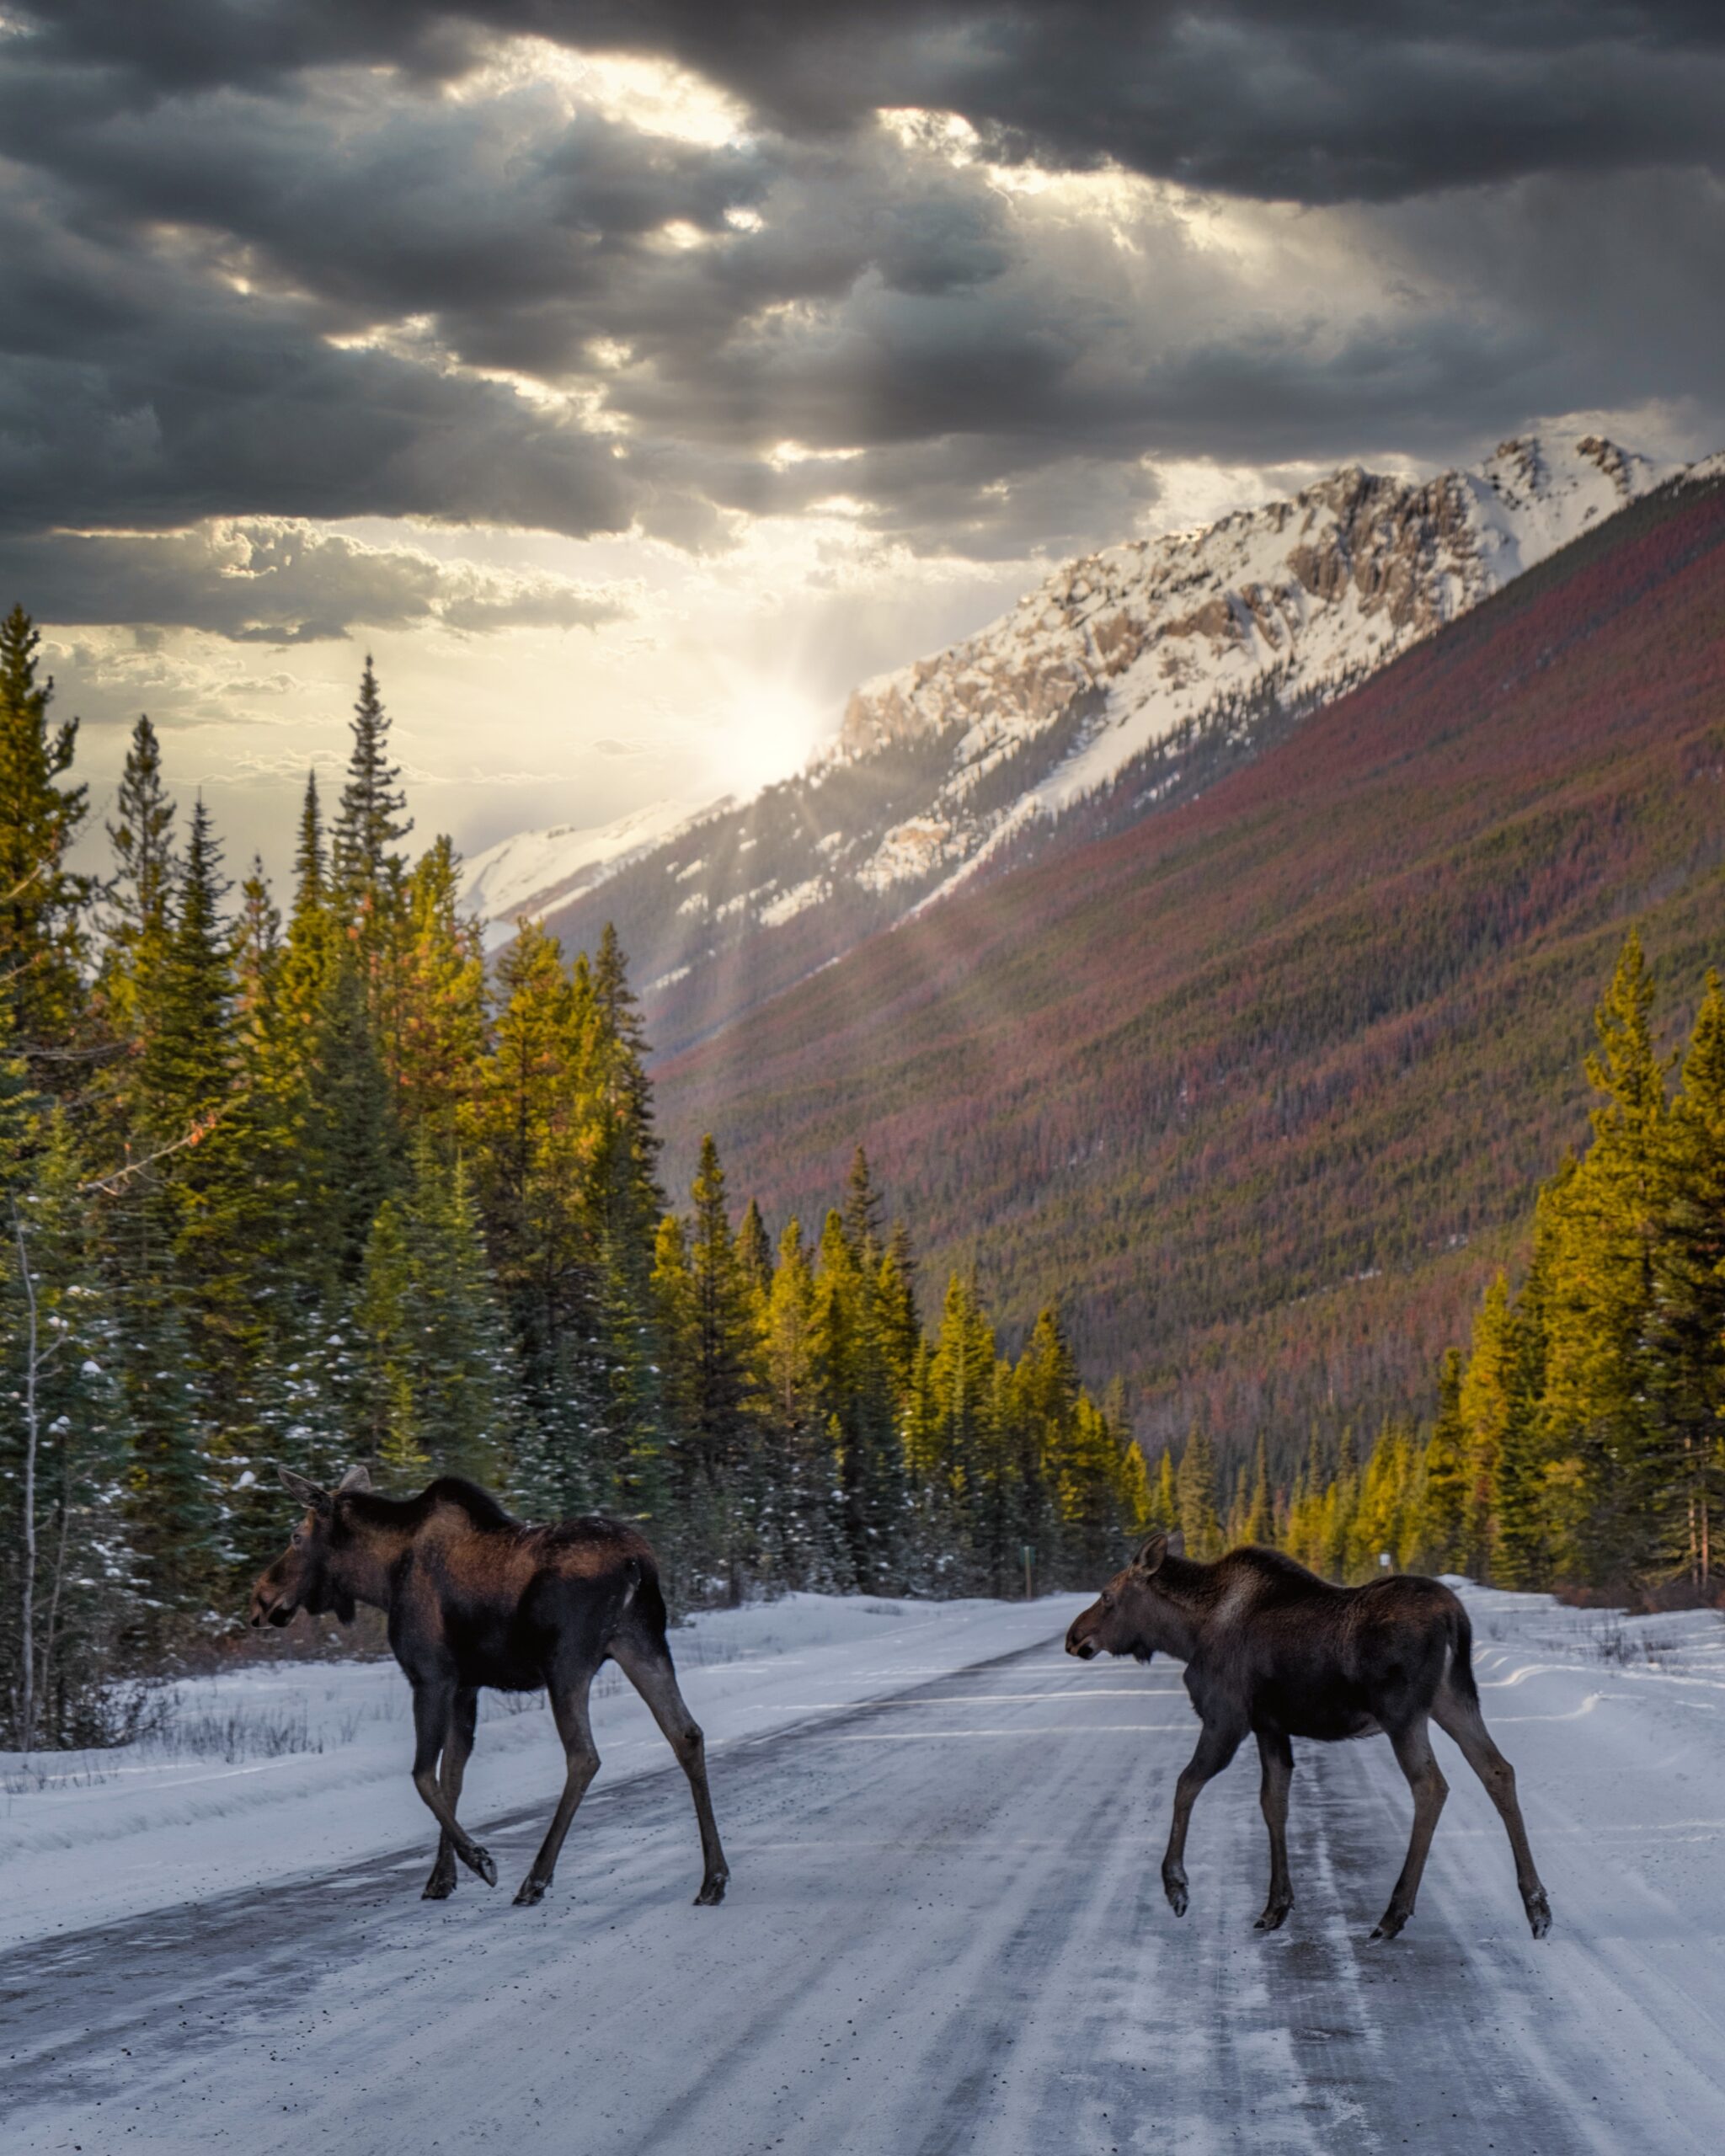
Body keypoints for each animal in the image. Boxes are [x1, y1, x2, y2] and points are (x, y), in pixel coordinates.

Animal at [248, 1465, 729, 1906]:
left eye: (296, 1536)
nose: (260, 1599)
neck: (381, 1579)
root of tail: (637, 1566)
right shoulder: (467, 1686)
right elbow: (452, 1777)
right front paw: (442, 1878)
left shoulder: (431, 1676)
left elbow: (423, 1775)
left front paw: (480, 1860)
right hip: (642, 1644)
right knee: (686, 1734)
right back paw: (714, 1879)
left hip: (567, 1662)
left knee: (584, 1756)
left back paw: (535, 1879)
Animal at [1065, 1526, 1552, 1949]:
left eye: (1107, 1597)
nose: (1073, 1637)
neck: (1186, 1634)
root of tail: (1455, 1618)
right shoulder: (1270, 1726)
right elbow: (1273, 1804)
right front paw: (1276, 1906)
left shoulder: (1227, 1719)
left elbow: (1186, 1785)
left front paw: (1177, 1887)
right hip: (1454, 1701)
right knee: (1497, 1770)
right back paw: (1538, 1908)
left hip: (1403, 1714)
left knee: (1431, 1786)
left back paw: (1393, 1914)